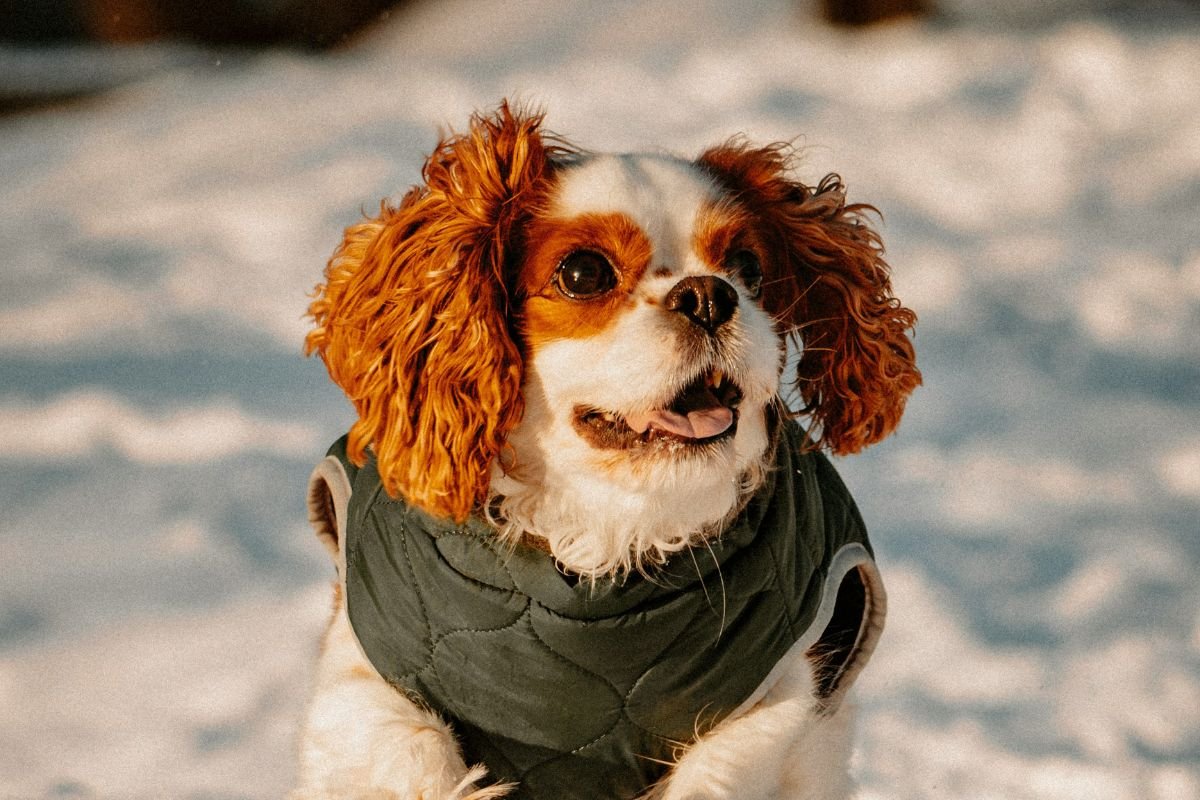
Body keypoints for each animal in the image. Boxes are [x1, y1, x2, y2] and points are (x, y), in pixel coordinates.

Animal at [292, 103, 916, 796]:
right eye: (583, 273)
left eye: (748, 268)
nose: (709, 295)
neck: (603, 541)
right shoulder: (363, 673)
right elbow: (410, 746)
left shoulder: (777, 691)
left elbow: (721, 764)